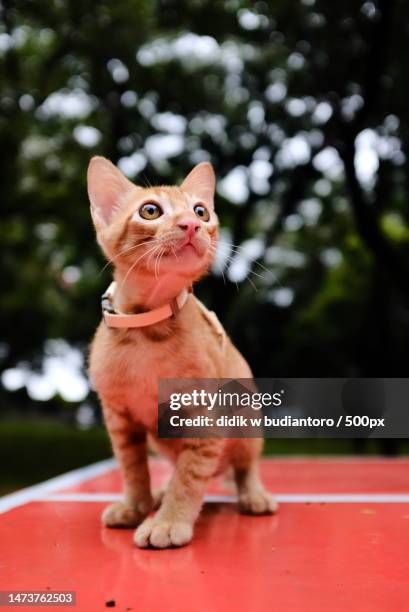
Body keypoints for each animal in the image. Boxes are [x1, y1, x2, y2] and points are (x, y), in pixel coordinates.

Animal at [87, 158, 276, 548]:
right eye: (150, 210)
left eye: (201, 211)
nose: (191, 224)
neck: (147, 333)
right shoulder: (118, 416)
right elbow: (132, 467)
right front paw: (136, 504)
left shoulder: (205, 416)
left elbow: (190, 476)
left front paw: (169, 520)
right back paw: (157, 495)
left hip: (247, 420)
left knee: (244, 465)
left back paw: (253, 494)